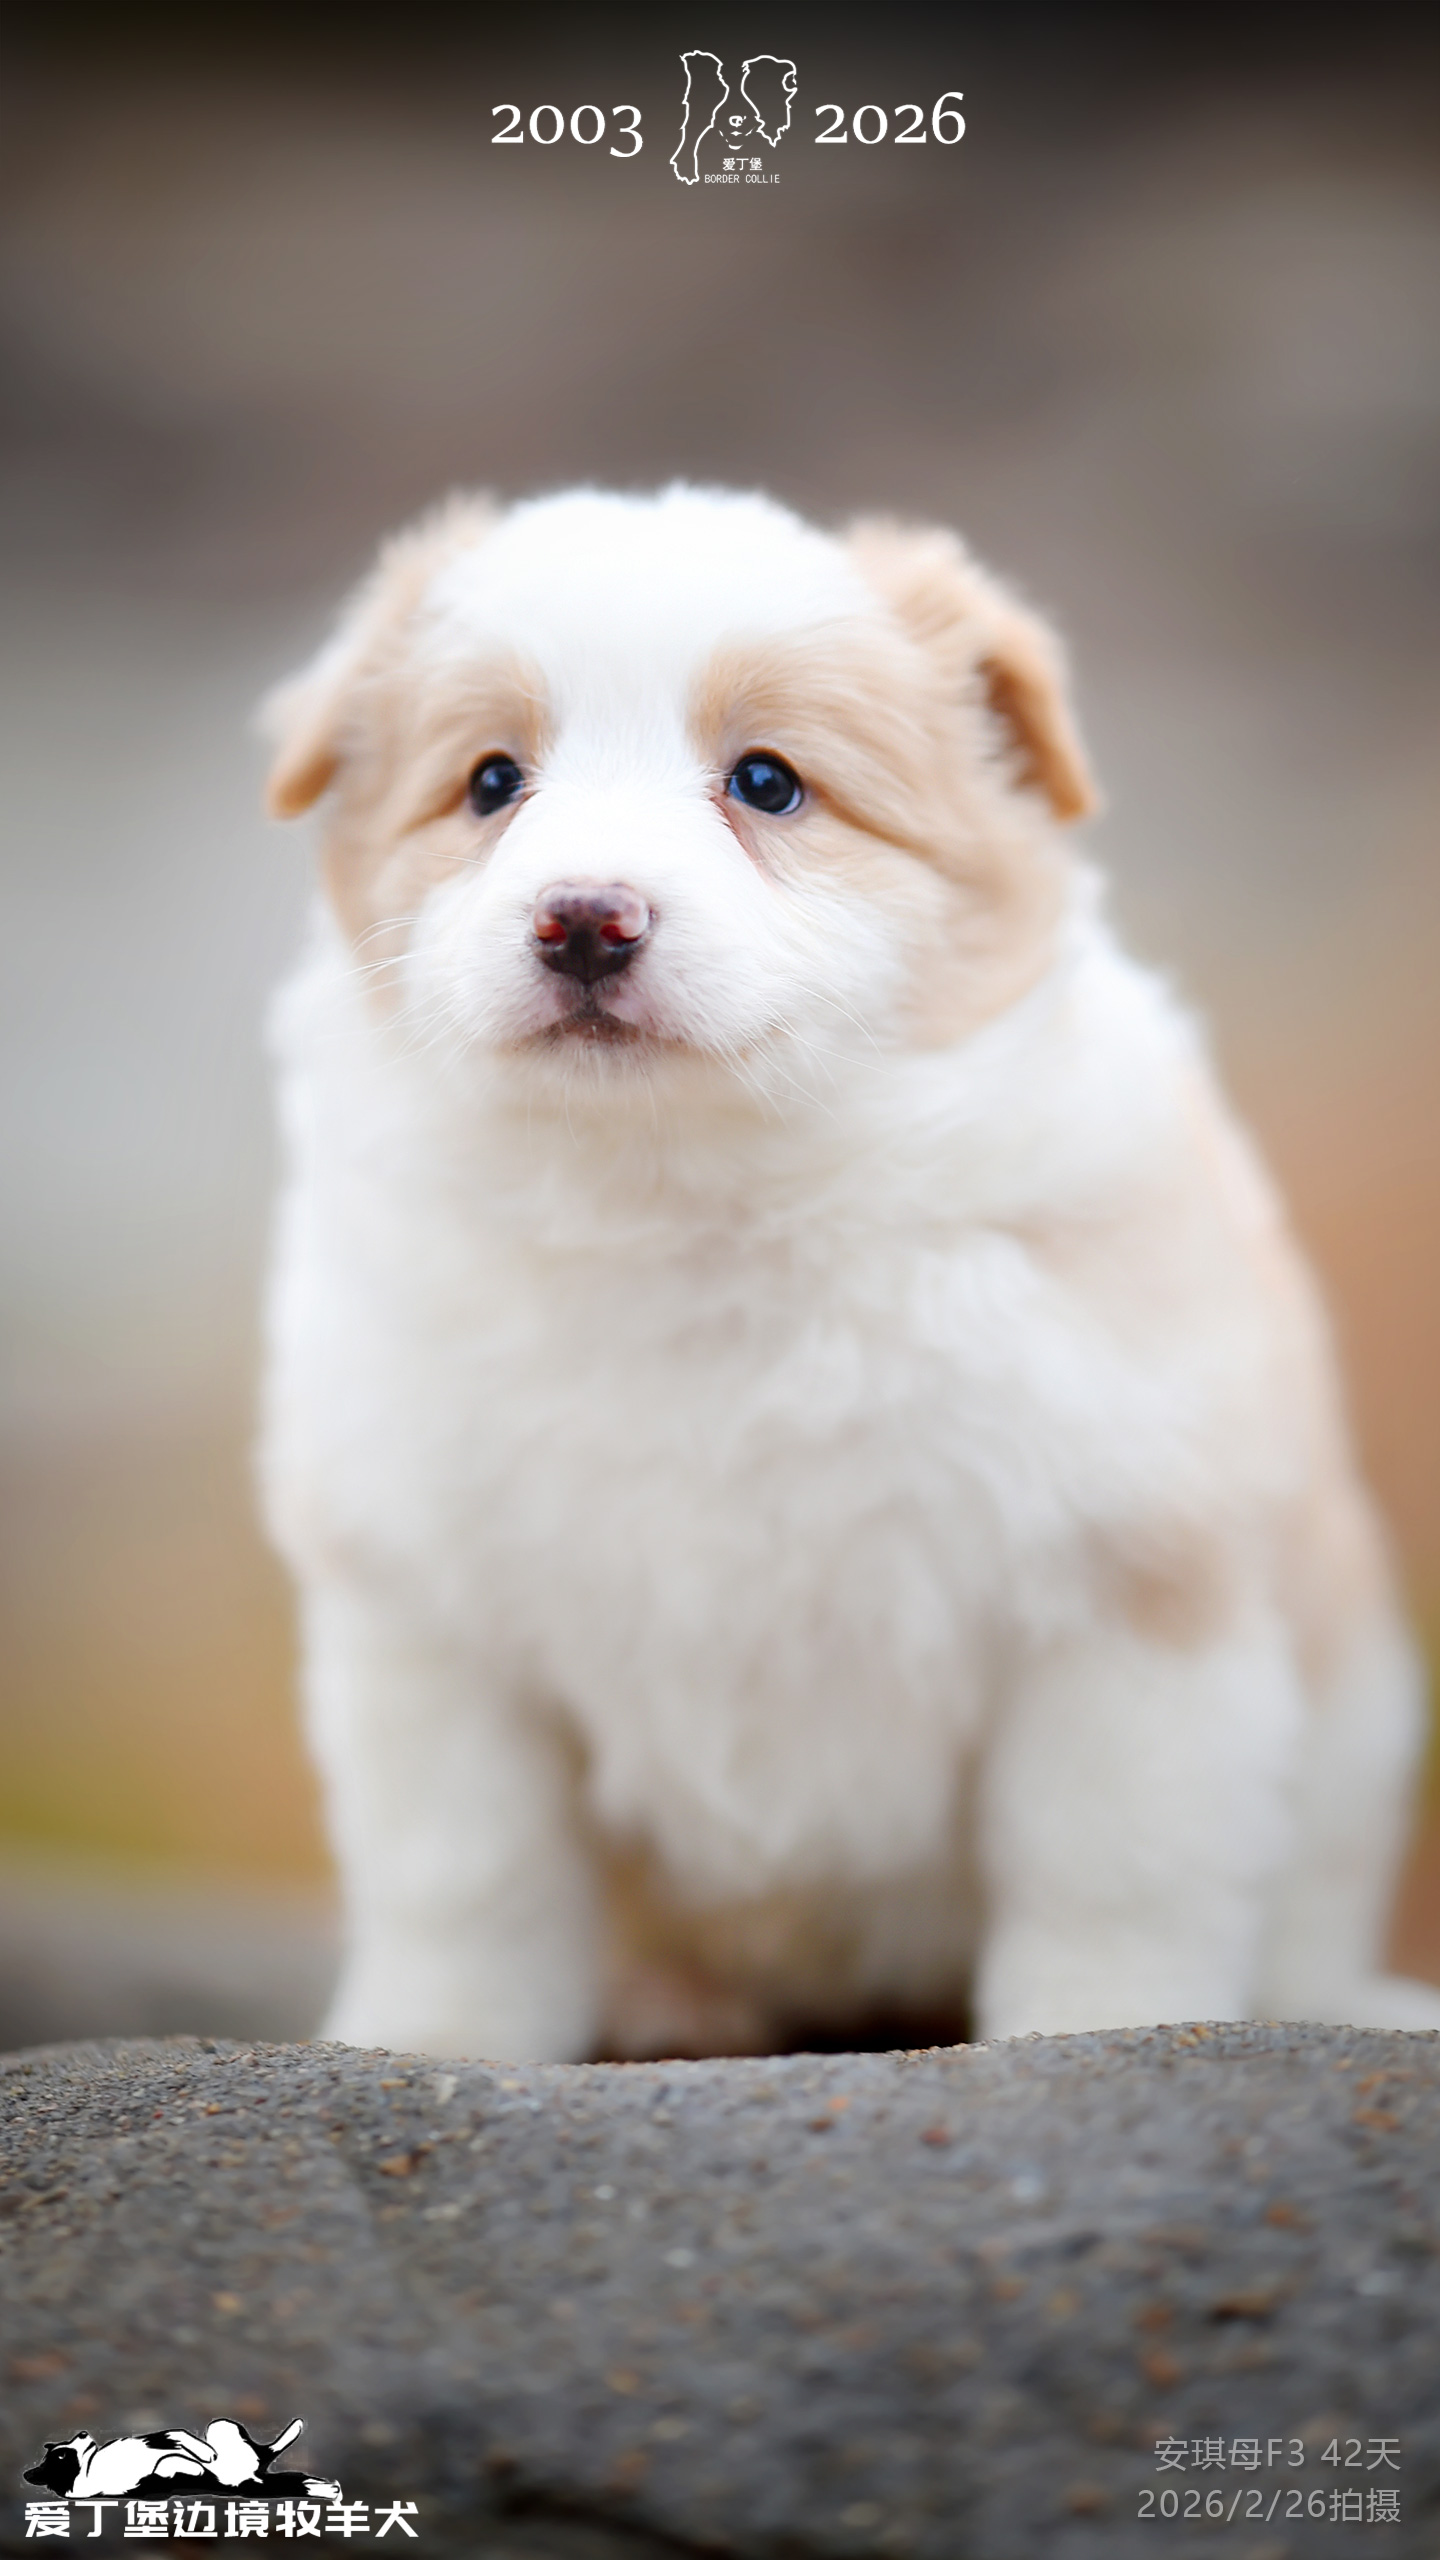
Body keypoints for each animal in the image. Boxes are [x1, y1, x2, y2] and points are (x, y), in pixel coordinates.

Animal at [259, 482, 1440, 2061]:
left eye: (768, 783)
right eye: (493, 781)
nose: (584, 919)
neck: (691, 1208)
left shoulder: (1126, 1598)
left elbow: (1113, 1872)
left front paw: (1097, 2032)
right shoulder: (430, 1632)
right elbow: (468, 1878)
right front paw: (431, 2047)